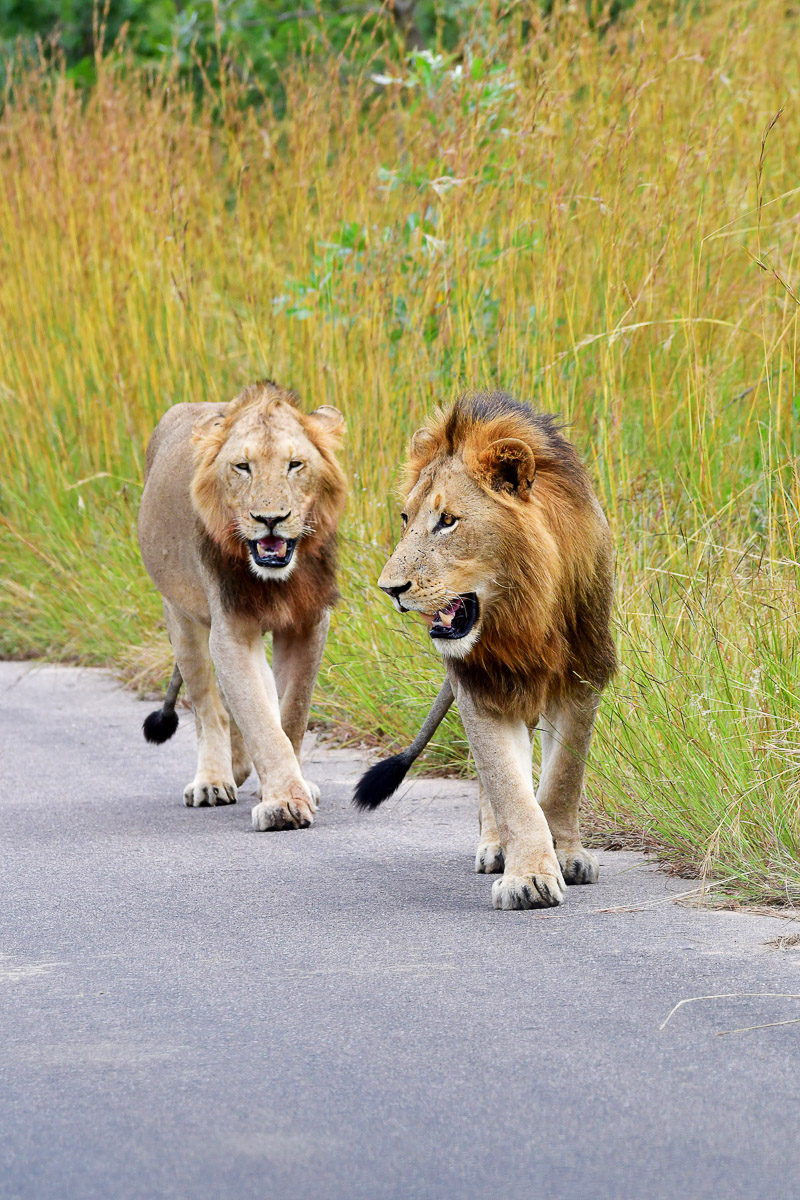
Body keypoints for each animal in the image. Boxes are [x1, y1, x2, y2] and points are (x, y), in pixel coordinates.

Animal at [138, 379, 346, 831]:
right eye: (242, 467)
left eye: (295, 465)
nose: (271, 519)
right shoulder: (230, 631)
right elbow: (259, 720)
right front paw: (283, 804)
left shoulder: (308, 623)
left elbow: (290, 714)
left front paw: (287, 789)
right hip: (180, 618)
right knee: (208, 708)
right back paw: (214, 780)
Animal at [353, 391, 616, 910]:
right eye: (405, 519)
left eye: (448, 521)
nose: (390, 589)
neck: (525, 610)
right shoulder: (481, 685)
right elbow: (509, 789)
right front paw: (529, 877)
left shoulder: (582, 677)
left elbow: (562, 780)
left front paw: (566, 855)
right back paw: (496, 847)